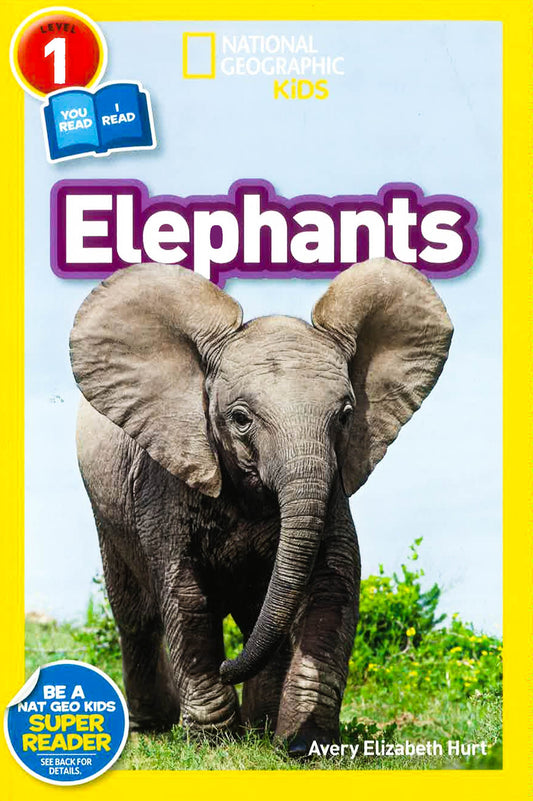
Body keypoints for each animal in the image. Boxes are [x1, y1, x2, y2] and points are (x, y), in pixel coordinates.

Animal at [70, 257, 453, 756]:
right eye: (240, 419)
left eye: (346, 416)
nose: (229, 665)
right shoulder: (163, 475)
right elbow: (185, 592)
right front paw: (211, 743)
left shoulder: (331, 485)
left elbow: (334, 583)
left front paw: (305, 745)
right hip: (105, 508)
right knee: (135, 614)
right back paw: (153, 728)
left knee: (257, 613)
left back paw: (258, 726)